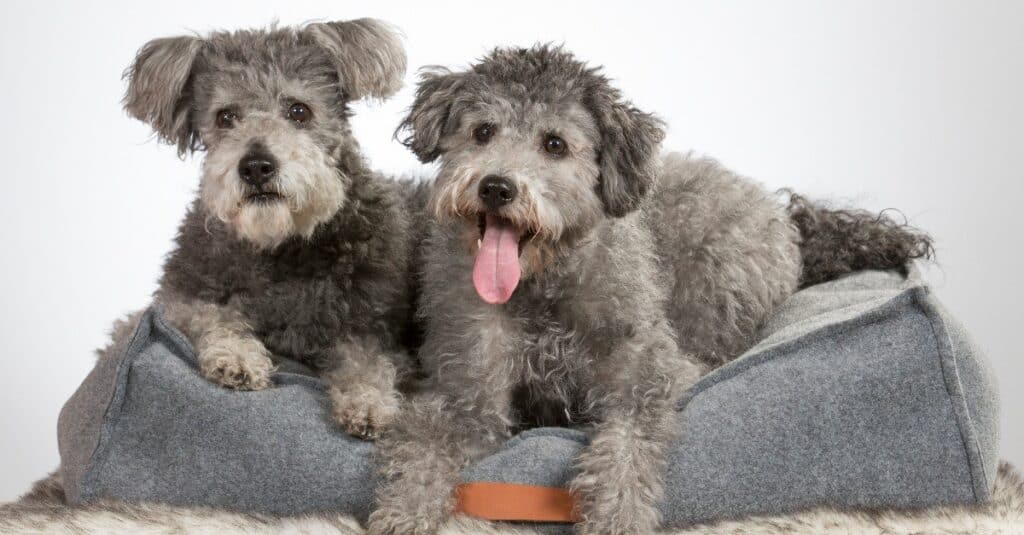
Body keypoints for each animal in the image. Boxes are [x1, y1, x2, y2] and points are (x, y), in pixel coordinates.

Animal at [117, 19, 421, 436]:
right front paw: (237, 356)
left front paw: (369, 402)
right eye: (226, 117)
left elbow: (368, 362)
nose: (256, 166)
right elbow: (211, 315)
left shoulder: (372, 328)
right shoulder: (181, 296)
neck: (282, 245)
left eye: (299, 111)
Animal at [370, 43, 937, 528]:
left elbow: (625, 453)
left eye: (554, 144)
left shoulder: (646, 379)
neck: (544, 288)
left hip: (719, 275)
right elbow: (427, 445)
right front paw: (405, 510)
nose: (496, 186)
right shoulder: (470, 396)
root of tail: (787, 215)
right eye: (483, 131)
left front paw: (616, 517)